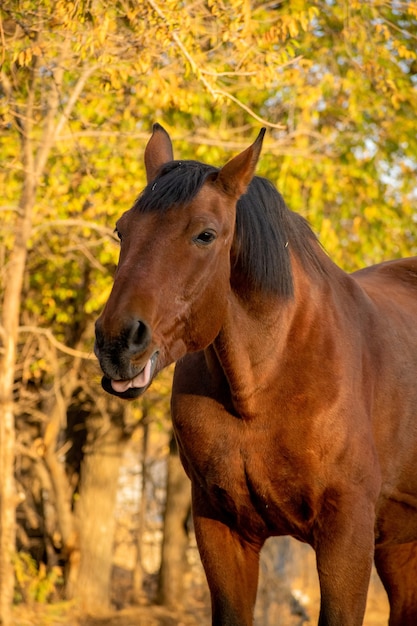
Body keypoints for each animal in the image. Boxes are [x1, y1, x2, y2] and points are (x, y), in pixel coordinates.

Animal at [94, 123, 416, 624]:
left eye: (206, 235)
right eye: (121, 229)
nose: (116, 342)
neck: (264, 383)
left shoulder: (347, 537)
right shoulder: (222, 529)